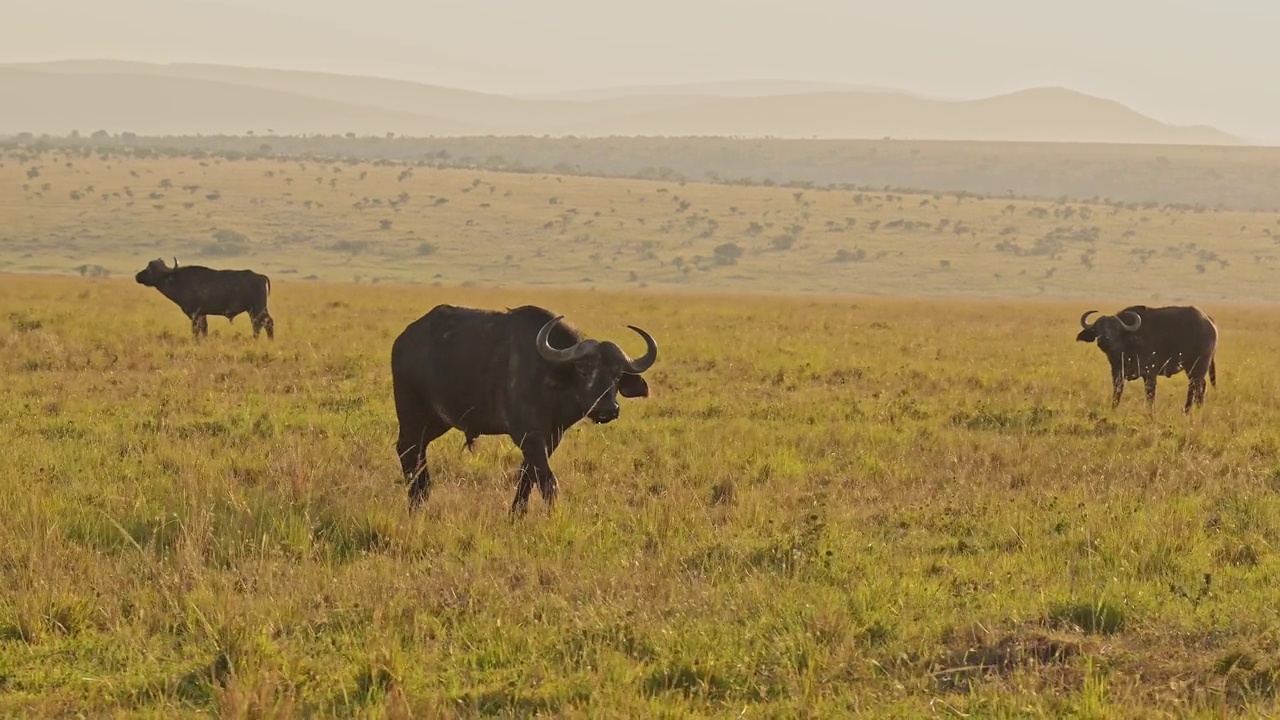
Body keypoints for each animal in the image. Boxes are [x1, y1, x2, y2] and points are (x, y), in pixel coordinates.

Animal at [135, 256, 275, 338]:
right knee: (260, 325)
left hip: (257, 309)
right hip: (255, 311)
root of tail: (260, 276)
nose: (137, 276)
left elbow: (196, 331)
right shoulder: (203, 314)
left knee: (265, 324)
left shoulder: (195, 314)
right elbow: (204, 330)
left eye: (151, 269)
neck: (179, 281)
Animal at [391, 304, 660, 512]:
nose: (608, 409)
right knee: (408, 449)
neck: (551, 384)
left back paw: (423, 493)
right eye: (584, 371)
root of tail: (404, 340)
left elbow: (527, 477)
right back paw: (415, 500)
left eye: (617, 375)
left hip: (438, 420)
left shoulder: (552, 437)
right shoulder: (528, 435)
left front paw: (516, 514)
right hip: (412, 412)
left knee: (419, 450)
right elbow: (547, 480)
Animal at [1075, 302, 1213, 412]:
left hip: (1198, 366)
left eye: (1115, 329)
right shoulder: (1117, 373)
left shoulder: (1150, 374)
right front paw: (1113, 409)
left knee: (1194, 387)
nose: (1103, 339)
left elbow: (1149, 396)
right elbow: (1117, 393)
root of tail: (1209, 321)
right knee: (1201, 386)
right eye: (1097, 329)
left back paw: (1187, 410)